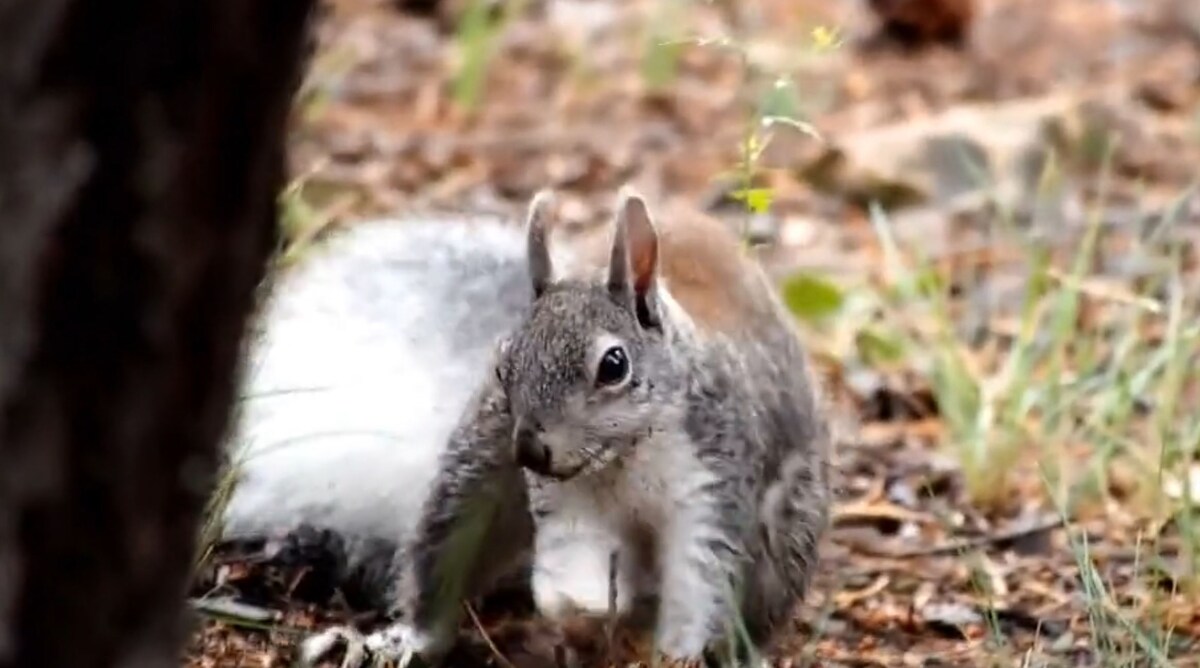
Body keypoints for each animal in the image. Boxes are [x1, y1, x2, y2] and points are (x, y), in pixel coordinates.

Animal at [218, 187, 825, 666]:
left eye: (615, 365)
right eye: (504, 364)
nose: (531, 449)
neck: (624, 456)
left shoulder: (712, 485)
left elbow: (700, 581)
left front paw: (676, 655)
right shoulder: (562, 498)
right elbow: (574, 552)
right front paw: (574, 600)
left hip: (788, 531)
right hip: (477, 466)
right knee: (444, 560)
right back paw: (405, 639)